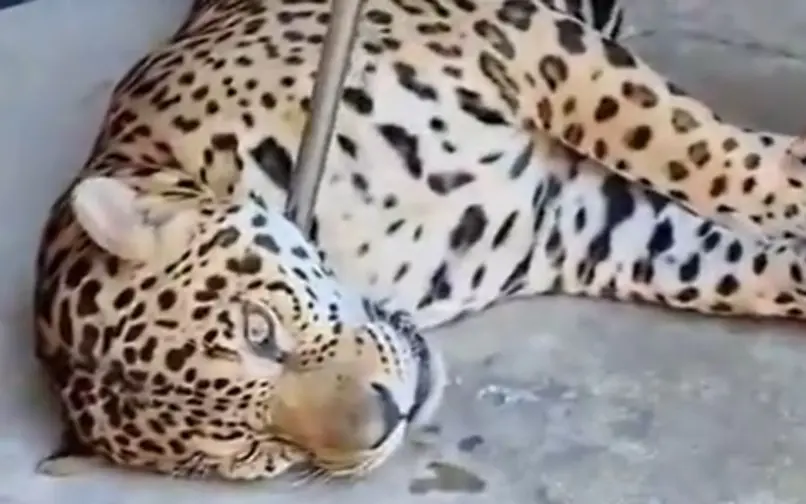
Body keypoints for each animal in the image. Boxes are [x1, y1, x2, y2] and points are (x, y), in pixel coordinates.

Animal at [32, 0, 806, 483]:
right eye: (255, 450)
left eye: (260, 332)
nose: (386, 418)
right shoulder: (587, 223)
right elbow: (731, 264)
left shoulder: (521, 39)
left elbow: (688, 147)